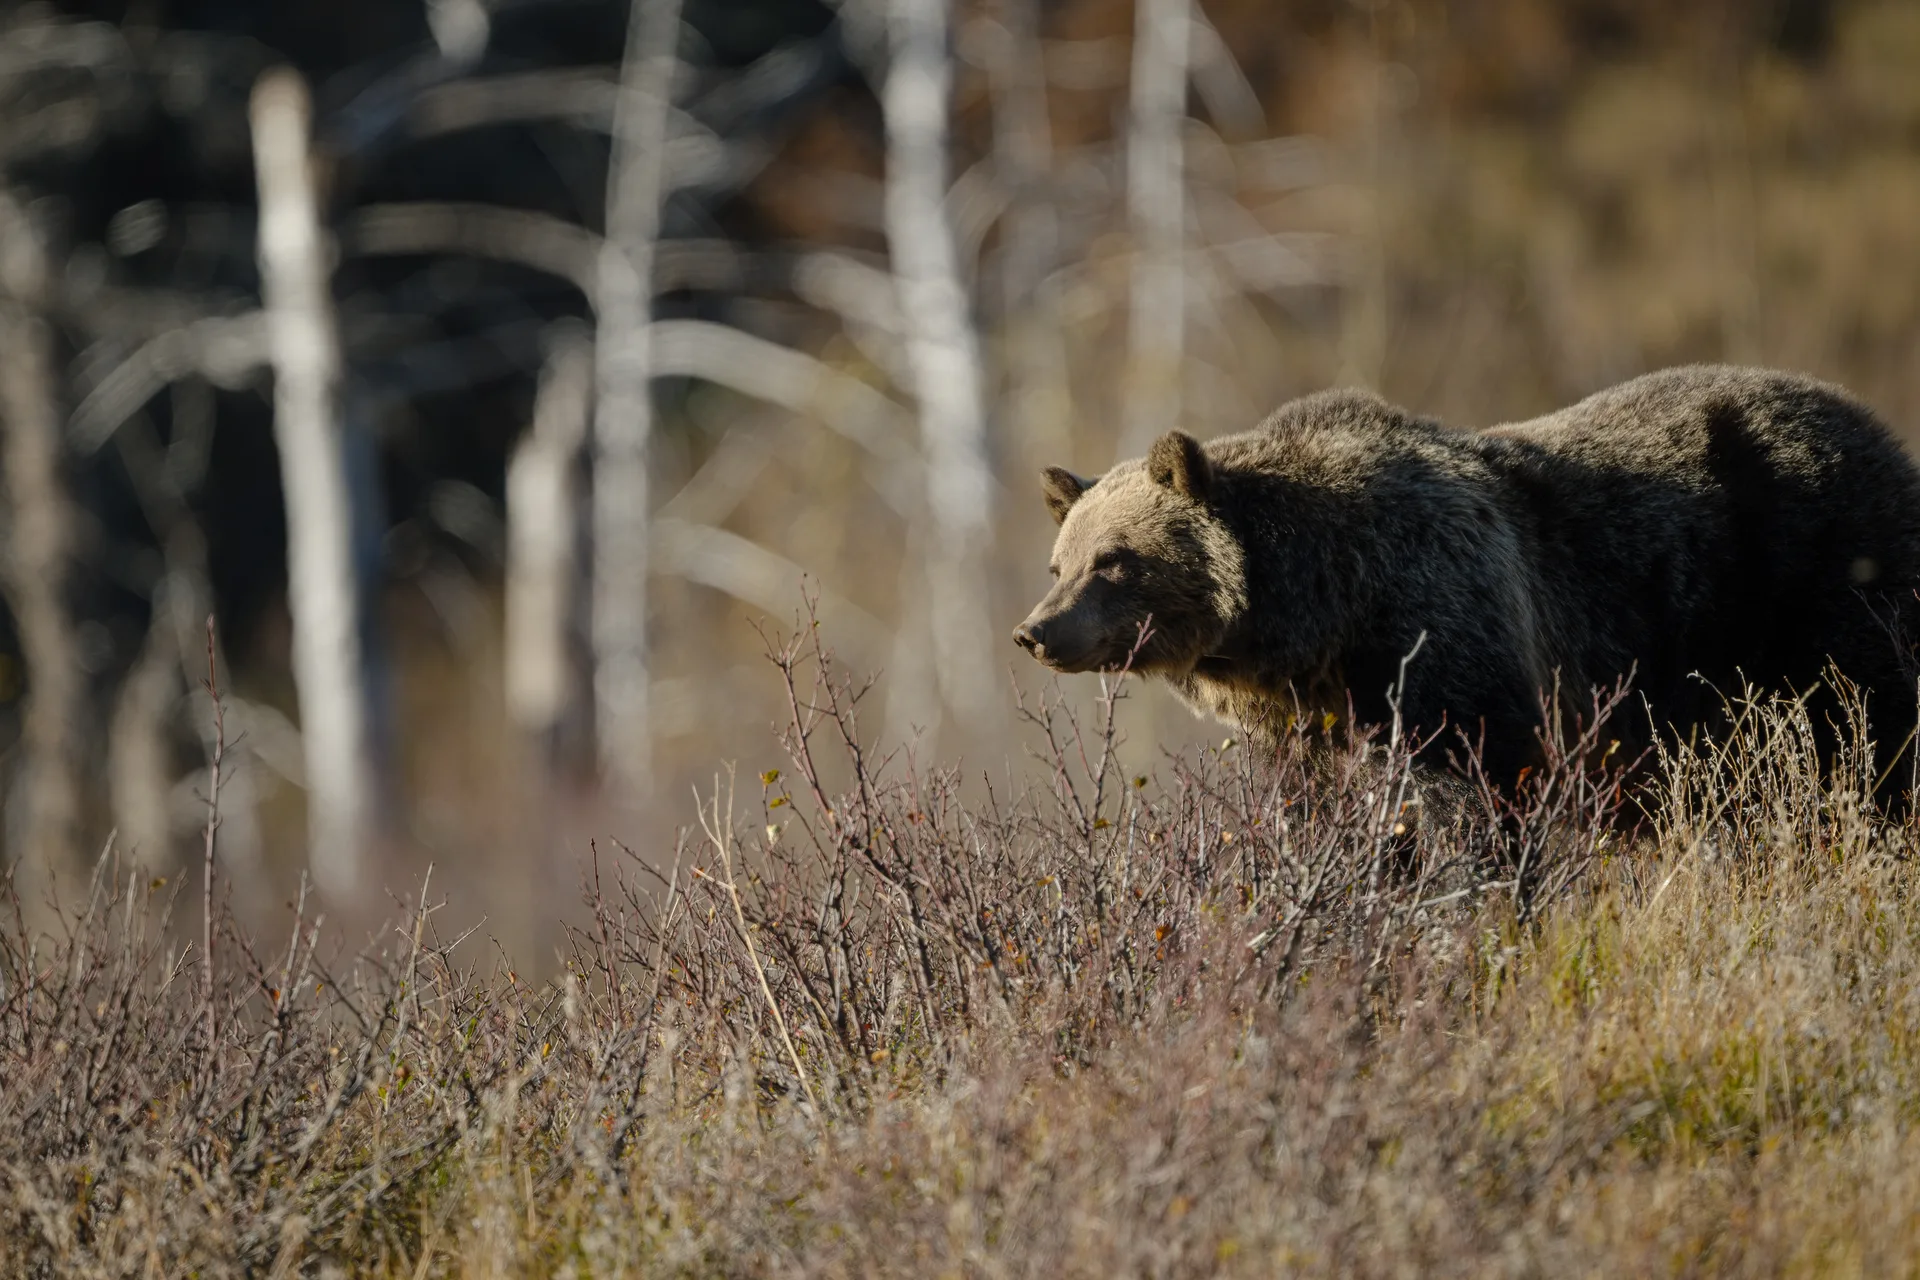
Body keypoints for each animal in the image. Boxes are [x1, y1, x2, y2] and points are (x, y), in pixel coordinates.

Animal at [1014, 365, 1920, 796]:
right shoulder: (1310, 718)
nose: (1036, 631)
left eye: (1115, 559)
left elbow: (1475, 773)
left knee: (1869, 727)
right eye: (1059, 561)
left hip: (1818, 578)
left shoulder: (1445, 627)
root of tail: (1876, 424)